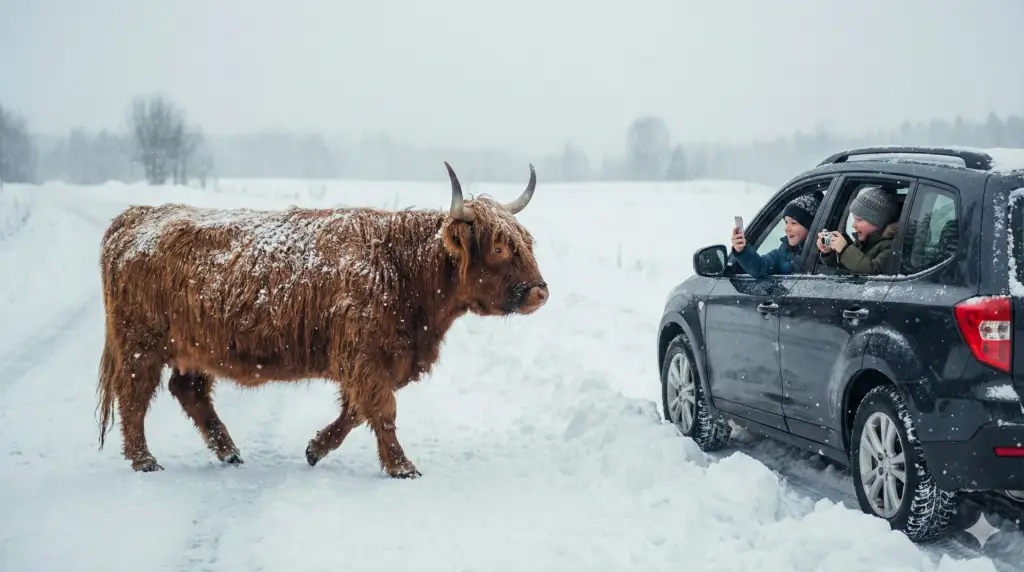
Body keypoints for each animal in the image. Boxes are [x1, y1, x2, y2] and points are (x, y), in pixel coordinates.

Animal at [95, 162, 548, 478]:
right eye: (499, 248)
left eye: (526, 243)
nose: (540, 291)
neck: (401, 269)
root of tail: (136, 216)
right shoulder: (364, 354)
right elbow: (382, 409)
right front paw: (401, 466)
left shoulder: (374, 358)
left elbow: (356, 411)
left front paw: (316, 448)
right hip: (140, 343)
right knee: (134, 396)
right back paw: (144, 460)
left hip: (192, 347)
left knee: (188, 390)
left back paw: (229, 451)